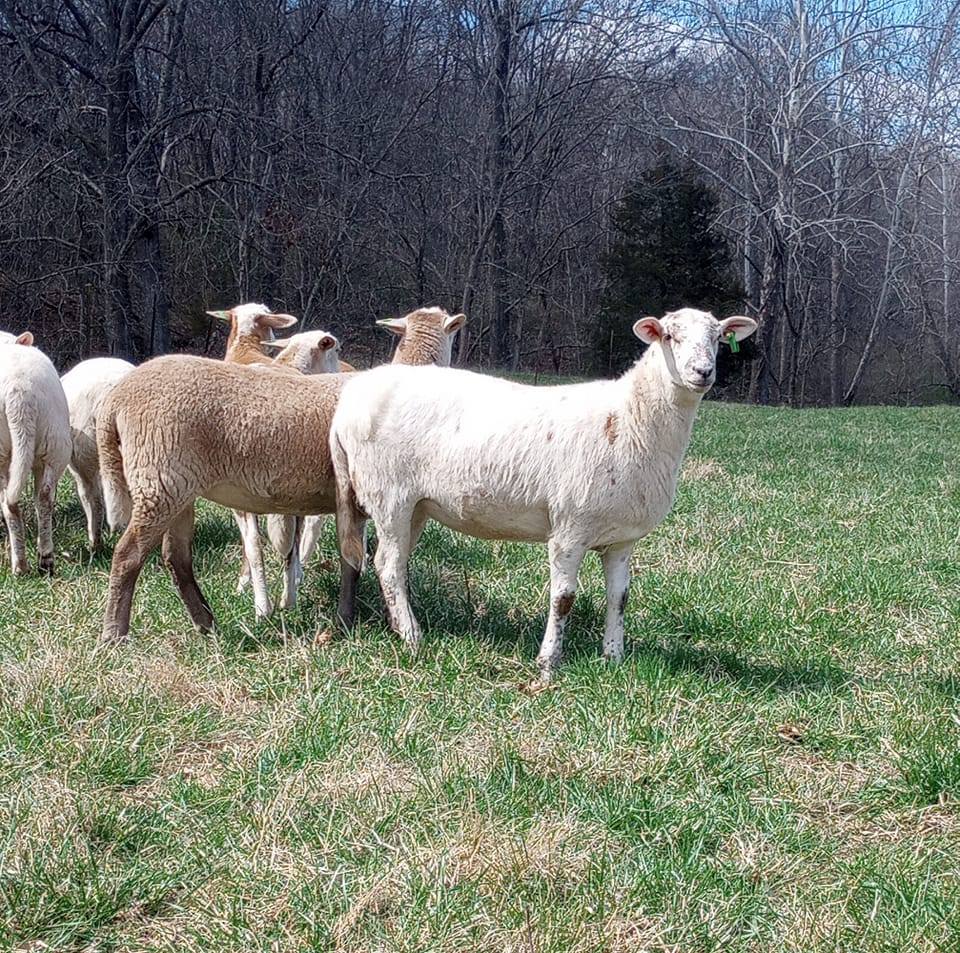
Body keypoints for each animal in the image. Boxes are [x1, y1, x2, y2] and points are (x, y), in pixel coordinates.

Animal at [0, 331, 71, 575]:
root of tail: (18, 390)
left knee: (11, 503)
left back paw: (21, 565)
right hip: (54, 443)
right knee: (43, 497)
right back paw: (43, 559)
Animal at [97, 306, 465, 643]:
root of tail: (116, 399)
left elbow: (349, 560)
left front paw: (346, 619)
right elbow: (355, 560)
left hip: (174, 484)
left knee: (176, 558)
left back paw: (207, 625)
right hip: (159, 477)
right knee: (128, 555)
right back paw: (114, 635)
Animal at [329, 308, 757, 681]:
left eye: (719, 338)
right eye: (670, 336)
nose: (702, 372)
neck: (629, 420)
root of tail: (349, 402)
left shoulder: (622, 538)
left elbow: (619, 596)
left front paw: (613, 658)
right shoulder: (570, 527)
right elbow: (563, 597)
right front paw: (549, 663)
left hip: (416, 505)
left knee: (394, 564)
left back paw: (399, 626)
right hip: (389, 495)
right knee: (387, 564)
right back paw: (412, 637)